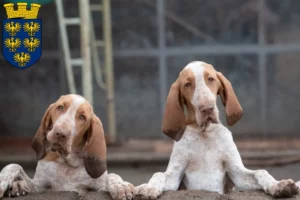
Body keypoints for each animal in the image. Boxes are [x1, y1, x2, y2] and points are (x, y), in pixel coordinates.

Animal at [0, 94, 136, 200]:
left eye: (82, 117)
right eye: (60, 107)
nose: (60, 133)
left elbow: (111, 176)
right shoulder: (39, 187)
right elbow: (13, 165)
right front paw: (4, 181)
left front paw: (120, 185)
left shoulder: (97, 188)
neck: (67, 163)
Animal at [135, 61, 298, 199]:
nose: (207, 108)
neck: (205, 133)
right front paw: (148, 187)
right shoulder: (175, 175)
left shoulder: (236, 172)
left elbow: (261, 172)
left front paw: (278, 185)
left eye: (211, 79)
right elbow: (159, 174)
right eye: (188, 84)